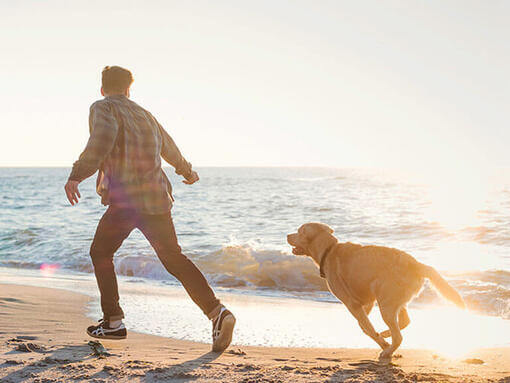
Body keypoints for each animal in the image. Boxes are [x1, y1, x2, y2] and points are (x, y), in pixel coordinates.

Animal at [286, 222, 466, 360]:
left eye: (299, 231)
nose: (287, 235)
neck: (328, 250)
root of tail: (417, 264)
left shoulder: (352, 303)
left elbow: (367, 328)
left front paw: (382, 342)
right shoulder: (367, 301)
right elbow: (365, 326)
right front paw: (381, 337)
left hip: (386, 303)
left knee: (399, 336)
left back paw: (387, 349)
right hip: (394, 300)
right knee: (404, 322)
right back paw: (386, 334)